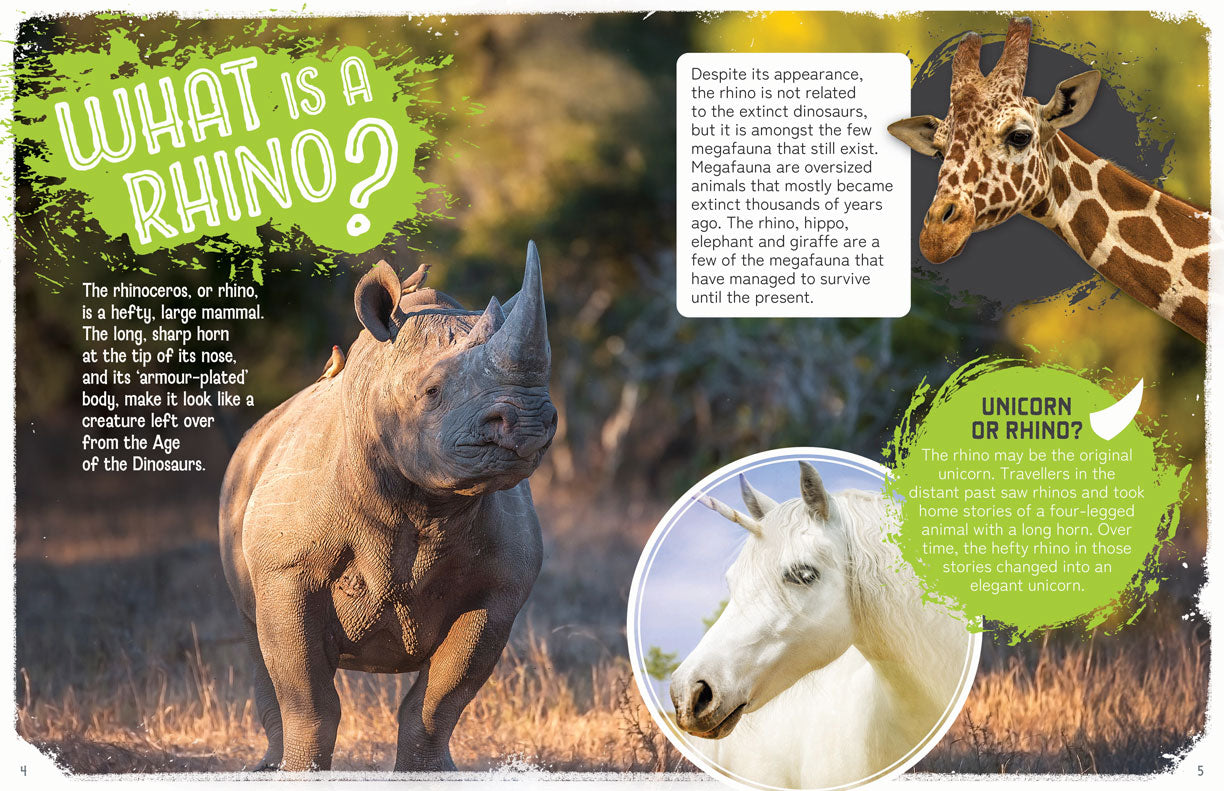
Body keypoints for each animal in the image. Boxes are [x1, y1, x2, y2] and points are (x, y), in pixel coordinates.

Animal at [219, 243, 556, 771]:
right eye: (432, 391)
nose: (530, 421)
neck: (424, 504)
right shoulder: (286, 571)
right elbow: (310, 702)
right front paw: (301, 773)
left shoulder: (498, 590)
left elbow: (438, 702)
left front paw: (428, 774)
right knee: (256, 643)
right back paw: (267, 768)